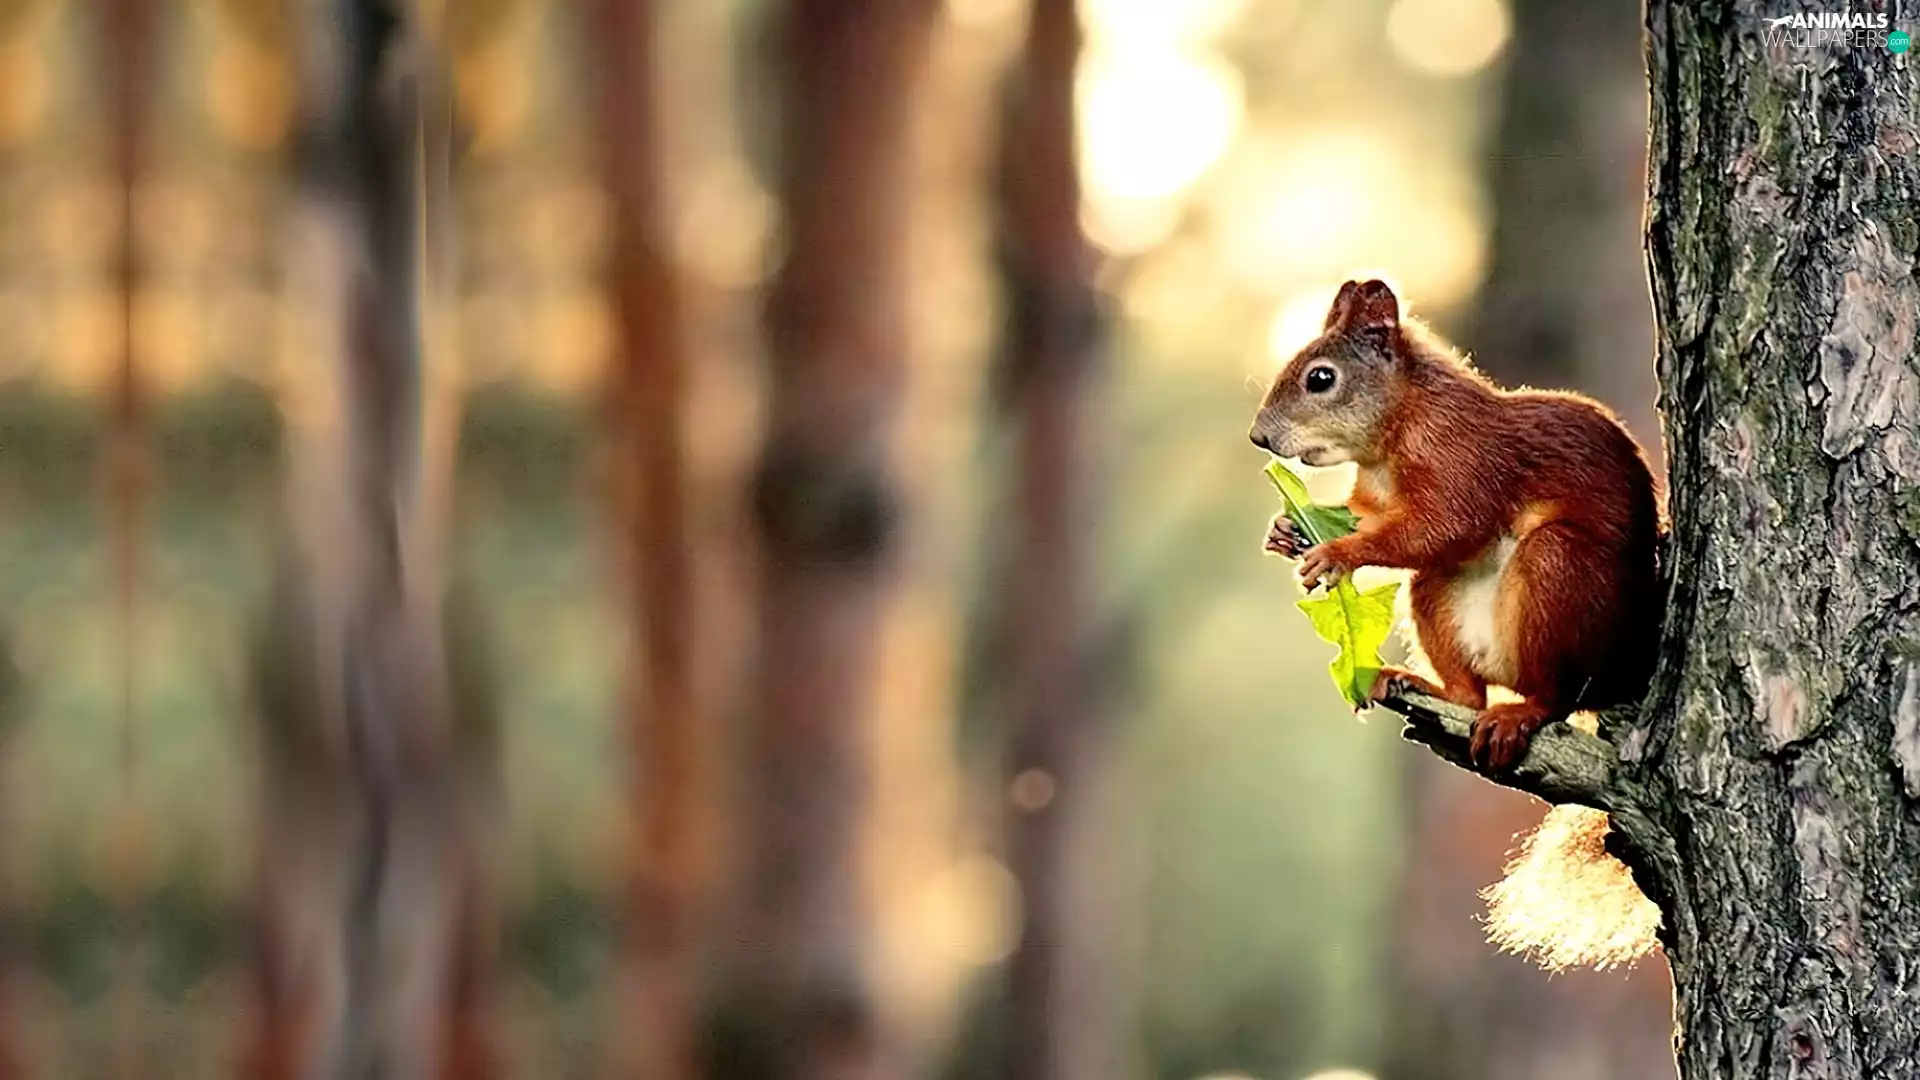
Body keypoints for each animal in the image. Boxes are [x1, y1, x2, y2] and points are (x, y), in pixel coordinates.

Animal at [1250, 278, 1666, 967]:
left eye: (1320, 378)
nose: (1259, 438)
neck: (1395, 433)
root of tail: (1622, 672)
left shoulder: (1465, 460)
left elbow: (1442, 526)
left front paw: (1337, 553)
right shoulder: (1376, 496)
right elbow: (1373, 517)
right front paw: (1287, 529)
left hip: (1559, 574)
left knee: (1554, 692)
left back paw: (1520, 714)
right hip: (1437, 596)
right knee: (1468, 689)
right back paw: (1423, 685)